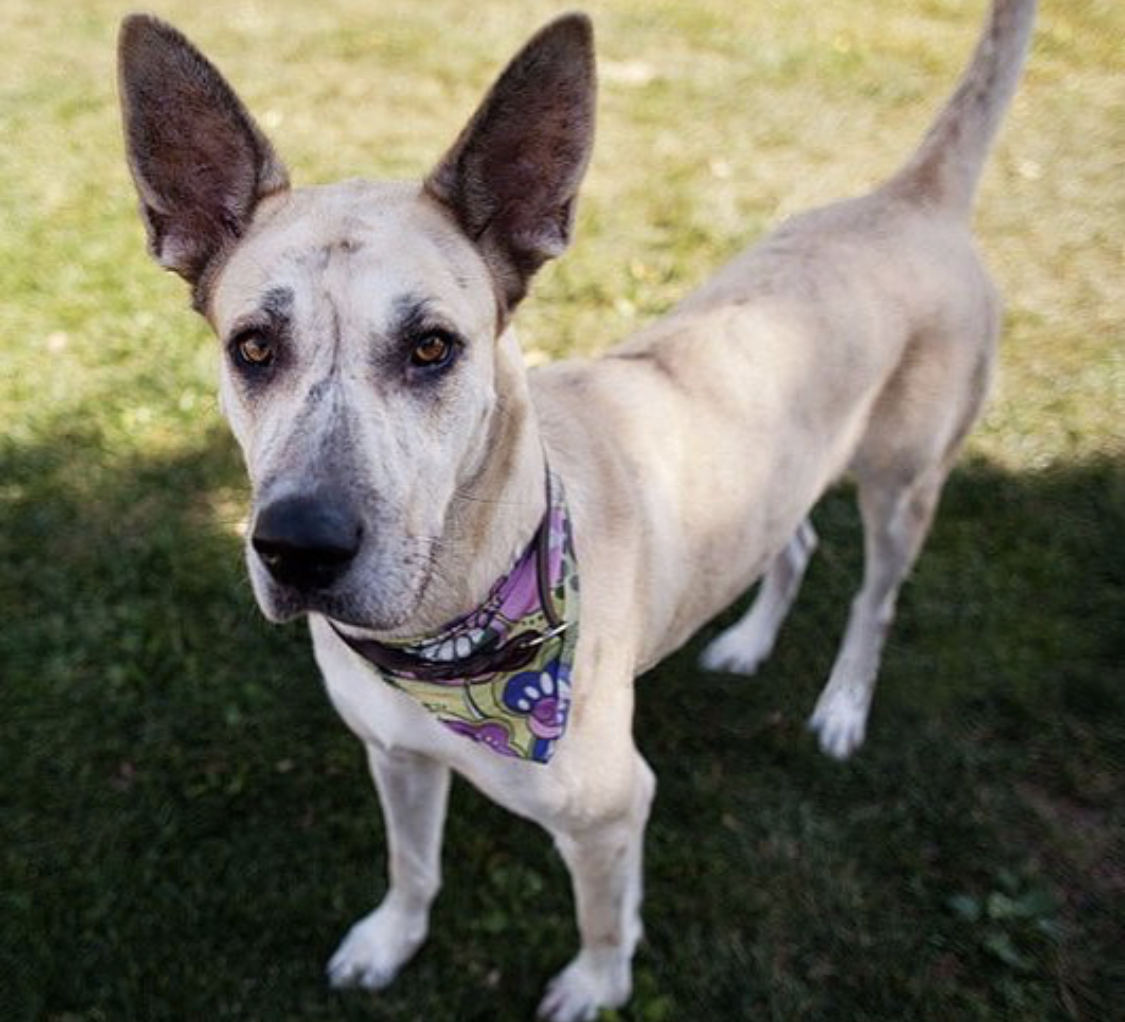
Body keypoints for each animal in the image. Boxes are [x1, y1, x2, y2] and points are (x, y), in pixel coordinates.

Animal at [116, 3, 1035, 1017]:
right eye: (253, 347)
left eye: (432, 346)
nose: (299, 549)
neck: (450, 633)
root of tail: (910, 197)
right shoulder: (395, 756)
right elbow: (411, 866)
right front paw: (390, 940)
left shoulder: (610, 810)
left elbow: (601, 918)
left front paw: (596, 985)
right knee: (791, 543)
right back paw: (747, 642)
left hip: (903, 483)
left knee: (873, 601)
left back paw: (840, 706)